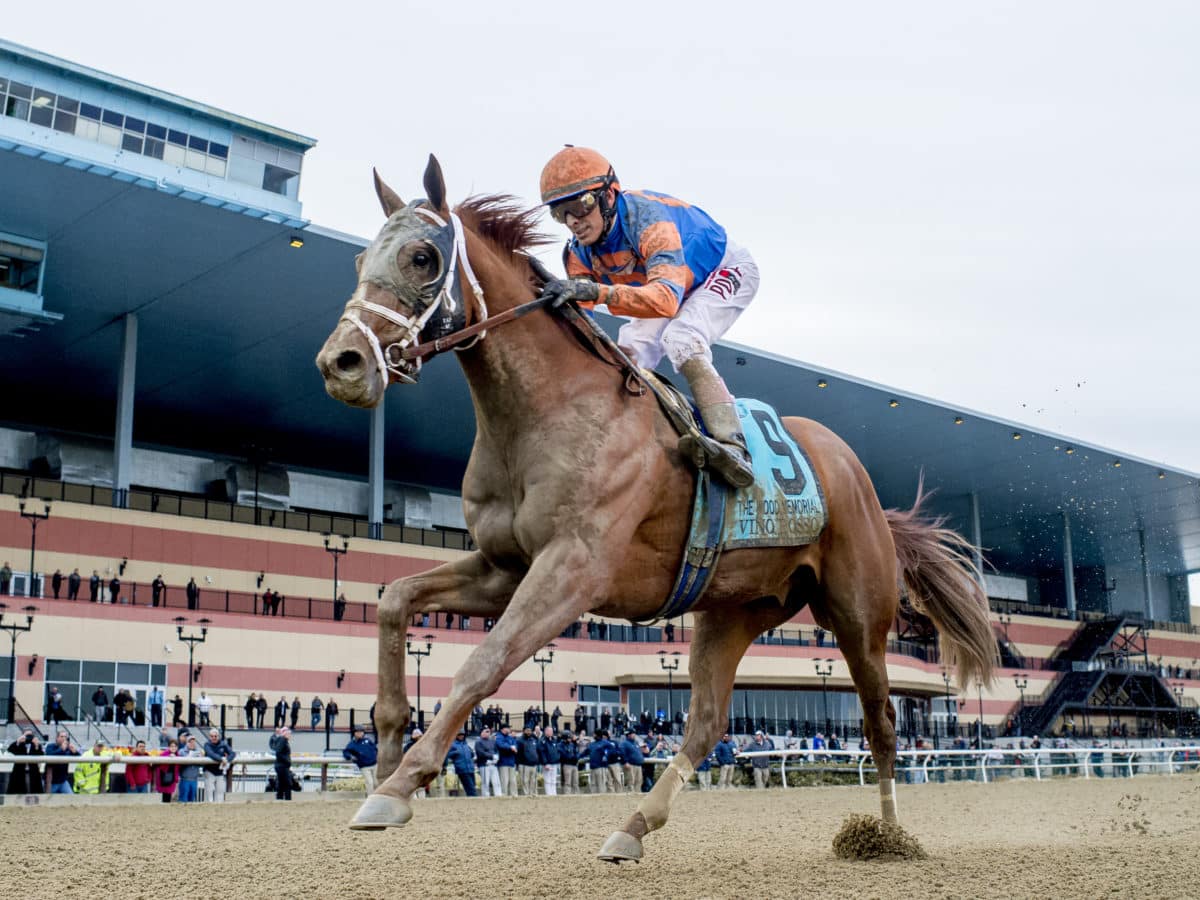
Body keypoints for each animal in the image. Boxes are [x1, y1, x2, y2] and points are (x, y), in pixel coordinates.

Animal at [312, 157, 993, 868]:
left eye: (422, 256)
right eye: (361, 258)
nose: (340, 364)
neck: (544, 412)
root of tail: (859, 480)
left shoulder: (573, 568)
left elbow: (482, 663)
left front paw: (400, 786)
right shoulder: (506, 566)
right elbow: (396, 599)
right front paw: (386, 755)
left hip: (858, 615)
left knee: (881, 720)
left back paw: (886, 835)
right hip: (734, 609)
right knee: (706, 723)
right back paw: (633, 827)